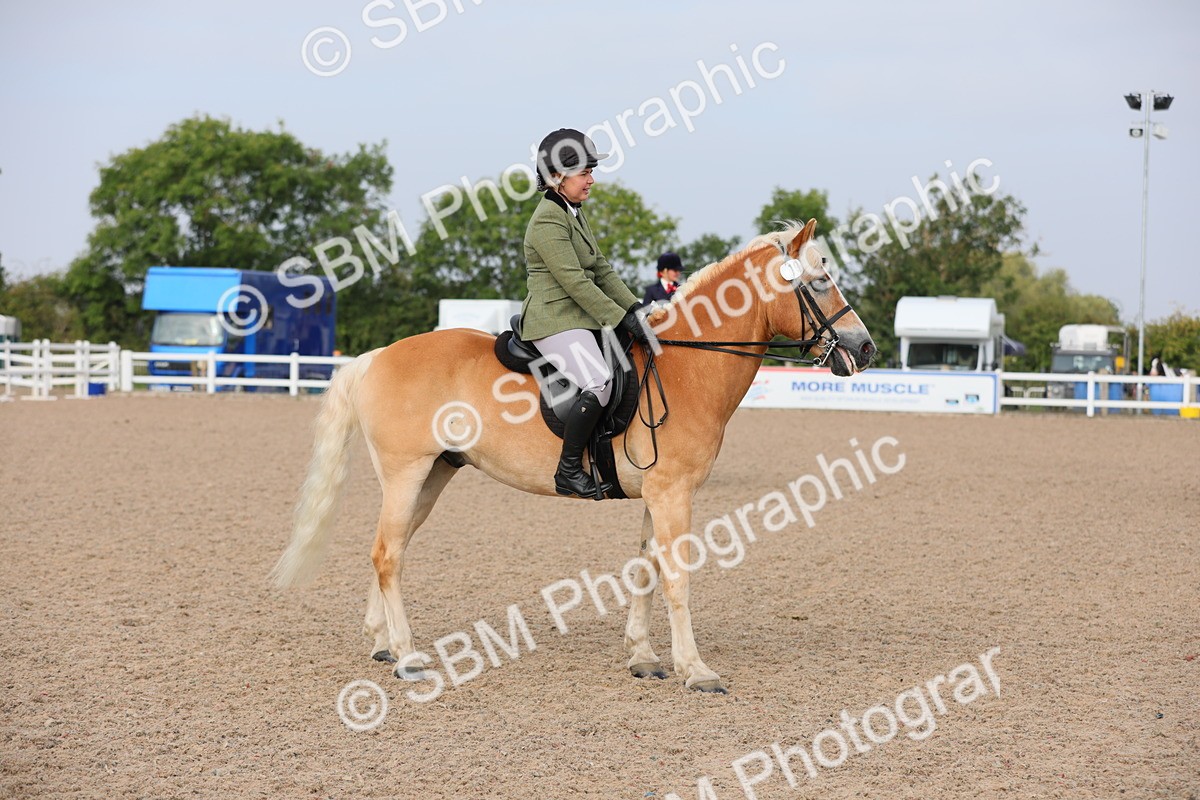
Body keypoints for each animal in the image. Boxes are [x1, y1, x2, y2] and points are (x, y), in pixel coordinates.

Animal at [270, 219, 876, 693]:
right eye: (820, 282)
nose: (865, 349)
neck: (686, 366)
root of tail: (377, 356)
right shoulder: (674, 493)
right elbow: (677, 576)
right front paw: (696, 670)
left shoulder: (656, 493)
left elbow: (646, 568)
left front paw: (643, 657)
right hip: (406, 472)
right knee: (388, 555)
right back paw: (409, 658)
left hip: (433, 476)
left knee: (390, 549)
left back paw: (383, 645)